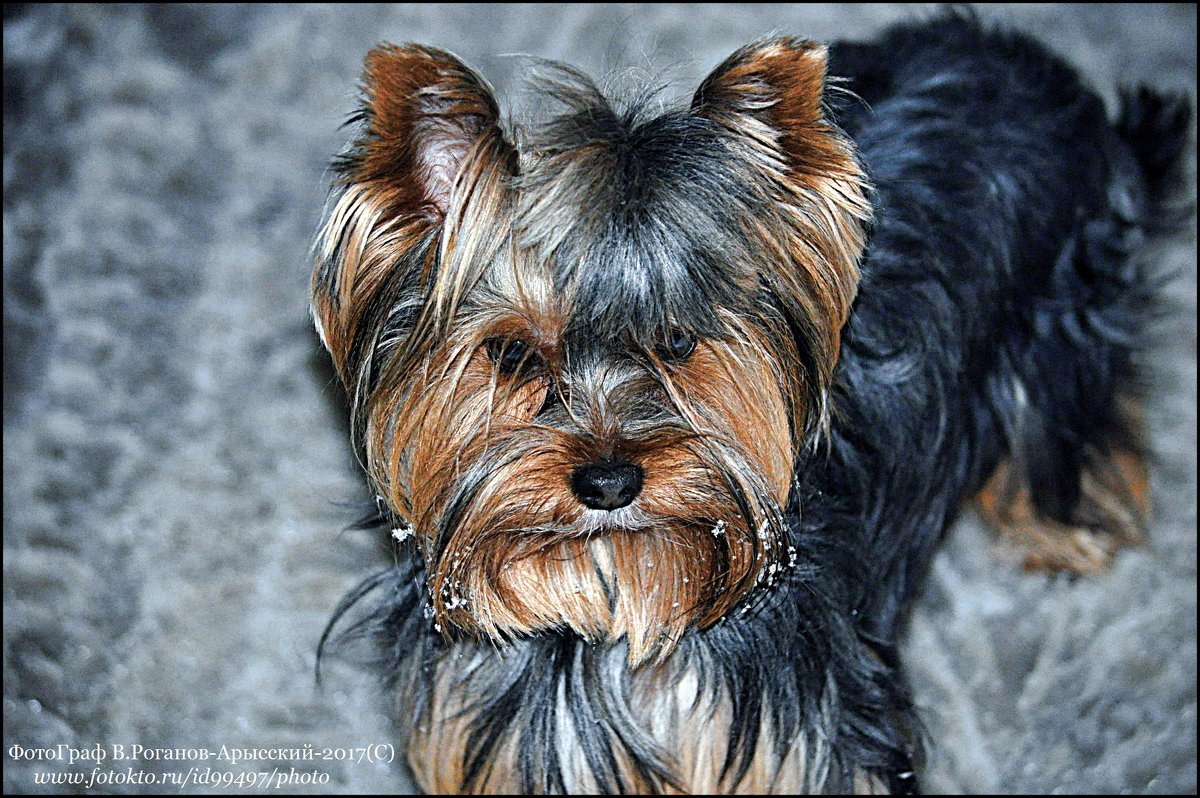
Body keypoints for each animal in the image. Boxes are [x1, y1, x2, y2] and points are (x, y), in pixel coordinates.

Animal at [312, 10, 1190, 792]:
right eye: (515, 353)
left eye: (675, 340)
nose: (608, 483)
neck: (614, 596)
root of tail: (1051, 77)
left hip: (1063, 316)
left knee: (1072, 423)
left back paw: (1065, 534)